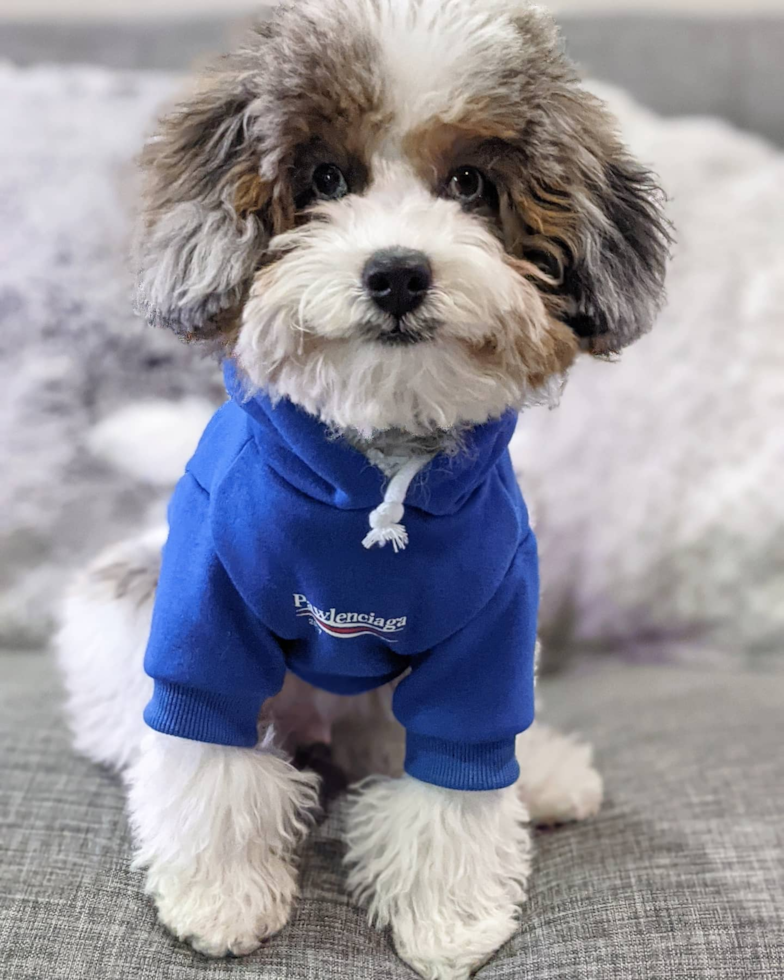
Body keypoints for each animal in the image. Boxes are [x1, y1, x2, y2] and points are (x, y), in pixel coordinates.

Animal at [56, 1, 668, 980]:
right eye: (326, 177)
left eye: (469, 182)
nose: (398, 271)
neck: (380, 457)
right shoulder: (205, 609)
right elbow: (208, 750)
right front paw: (220, 894)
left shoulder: (493, 627)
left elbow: (460, 766)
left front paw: (449, 914)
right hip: (129, 603)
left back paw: (544, 774)